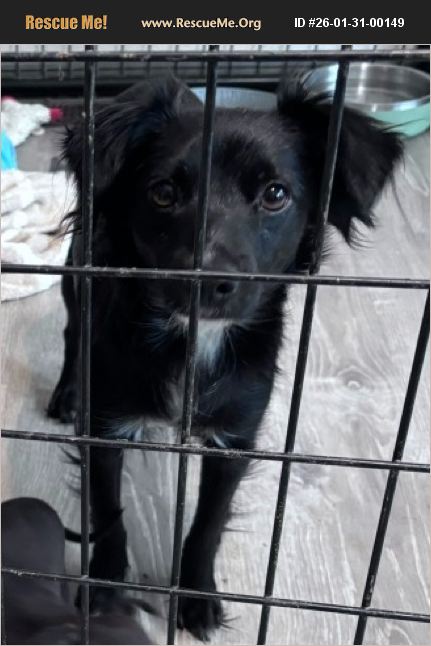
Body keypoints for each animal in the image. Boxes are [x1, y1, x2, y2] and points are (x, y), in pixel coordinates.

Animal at [47, 75, 402, 640]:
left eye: (275, 194)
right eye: (163, 192)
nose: (208, 280)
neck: (193, 341)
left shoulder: (235, 439)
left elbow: (208, 523)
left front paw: (195, 595)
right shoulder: (104, 428)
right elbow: (109, 515)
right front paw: (104, 584)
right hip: (74, 275)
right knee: (70, 331)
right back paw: (65, 390)